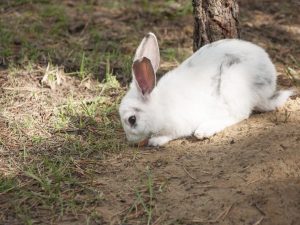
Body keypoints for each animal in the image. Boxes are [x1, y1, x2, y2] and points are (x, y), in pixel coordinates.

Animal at [118, 32, 292, 147]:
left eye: (132, 119)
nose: (130, 141)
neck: (159, 106)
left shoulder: (179, 125)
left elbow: (171, 134)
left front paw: (155, 141)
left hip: (233, 84)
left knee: (239, 115)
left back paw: (205, 130)